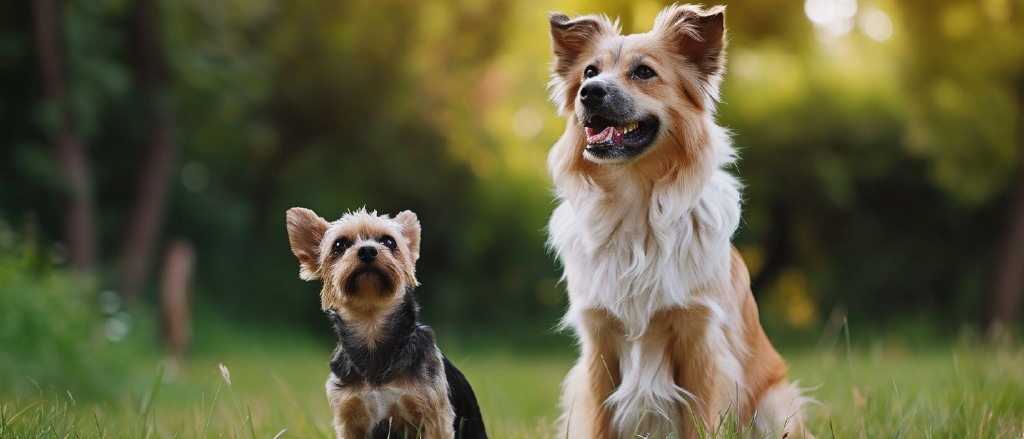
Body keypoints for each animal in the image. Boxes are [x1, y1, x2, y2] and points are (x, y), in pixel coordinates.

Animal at [282, 206, 485, 437]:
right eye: (339, 244)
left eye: (389, 241)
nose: (367, 251)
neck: (371, 323)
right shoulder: (347, 416)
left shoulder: (435, 416)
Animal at [548, 3, 811, 437]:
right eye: (588, 72)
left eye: (643, 72)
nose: (590, 92)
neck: (635, 205)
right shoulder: (600, 344)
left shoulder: (700, 341)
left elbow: (701, 421)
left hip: (775, 406)